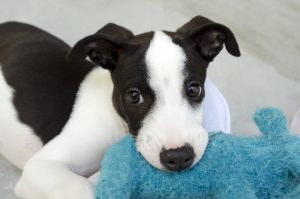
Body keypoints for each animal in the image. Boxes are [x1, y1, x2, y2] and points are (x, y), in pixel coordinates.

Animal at [0, 15, 239, 199]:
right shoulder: (42, 167)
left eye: (194, 89)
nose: (179, 157)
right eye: (134, 96)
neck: (117, 124)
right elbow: (84, 189)